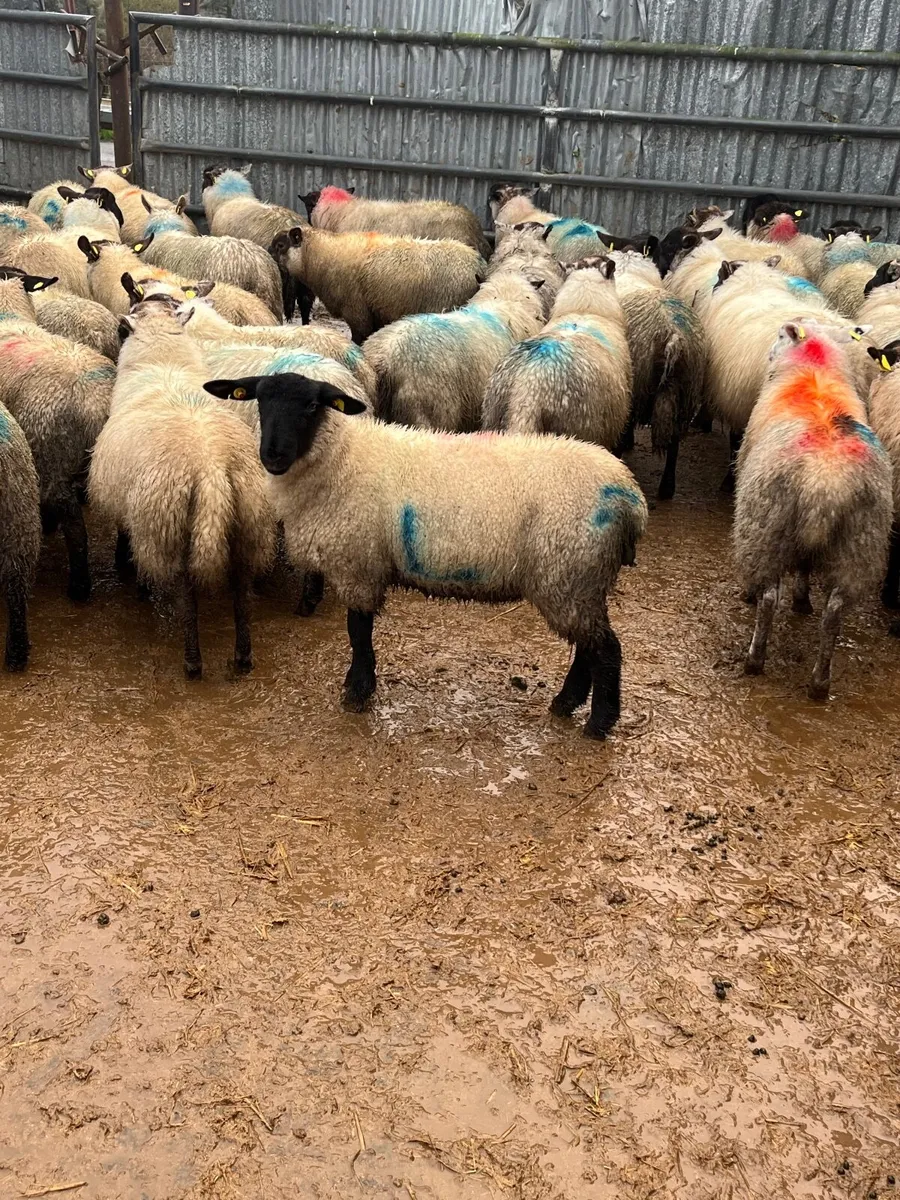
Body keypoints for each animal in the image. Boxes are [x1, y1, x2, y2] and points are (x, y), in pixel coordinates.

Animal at [88, 300, 275, 677]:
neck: (165, 363)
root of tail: (212, 468)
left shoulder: (132, 512)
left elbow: (126, 538)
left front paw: (137, 581)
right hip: (250, 517)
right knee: (240, 583)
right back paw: (242, 656)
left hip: (167, 522)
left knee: (185, 586)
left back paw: (192, 660)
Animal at [203, 371, 647, 739]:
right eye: (260, 400)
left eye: (312, 406)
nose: (272, 455)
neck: (340, 458)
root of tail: (629, 495)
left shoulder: (358, 562)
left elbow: (357, 631)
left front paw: (357, 691)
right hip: (579, 578)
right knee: (589, 648)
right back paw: (565, 704)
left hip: (569, 570)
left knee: (606, 649)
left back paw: (598, 723)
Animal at [734, 321, 891, 698]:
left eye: (779, 336)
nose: (769, 353)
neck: (815, 367)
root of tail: (826, 481)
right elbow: (805, 567)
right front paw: (803, 600)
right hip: (861, 540)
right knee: (834, 612)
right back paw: (820, 682)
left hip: (767, 524)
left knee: (769, 598)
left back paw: (755, 658)